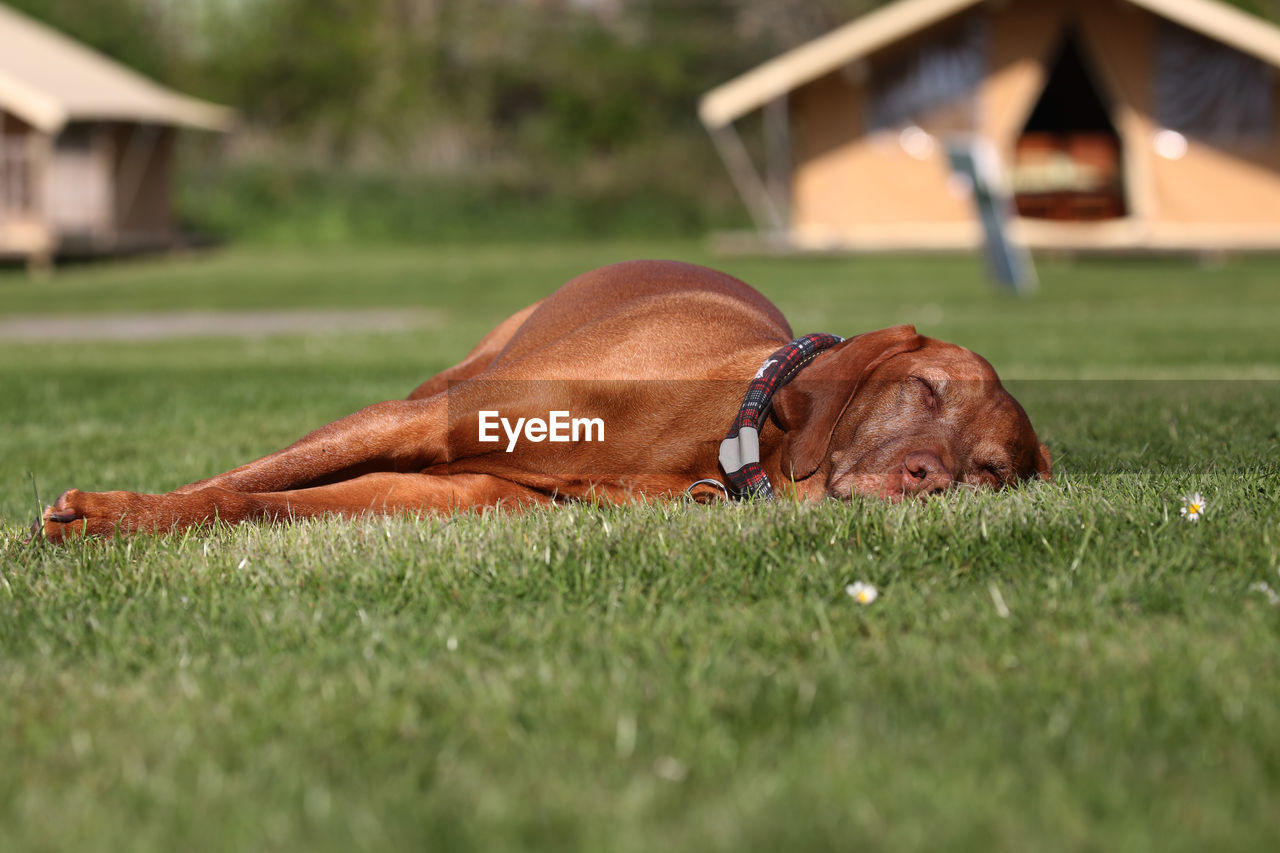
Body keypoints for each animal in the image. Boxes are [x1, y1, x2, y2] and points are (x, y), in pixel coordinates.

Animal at [40, 258, 1049, 537]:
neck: (731, 426)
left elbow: (257, 500)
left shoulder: (461, 491)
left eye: (990, 471)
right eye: (924, 387)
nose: (928, 475)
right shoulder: (426, 422)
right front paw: (112, 511)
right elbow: (235, 479)